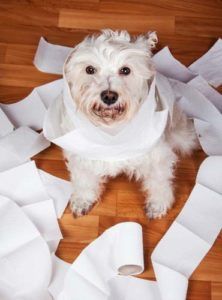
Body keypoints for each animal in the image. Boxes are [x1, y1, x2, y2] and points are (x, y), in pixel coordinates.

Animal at [61, 29, 197, 218]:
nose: (109, 96)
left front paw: (158, 204)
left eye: (125, 70)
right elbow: (84, 180)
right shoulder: (82, 157)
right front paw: (82, 199)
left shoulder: (157, 157)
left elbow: (159, 181)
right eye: (89, 69)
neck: (113, 132)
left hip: (182, 135)